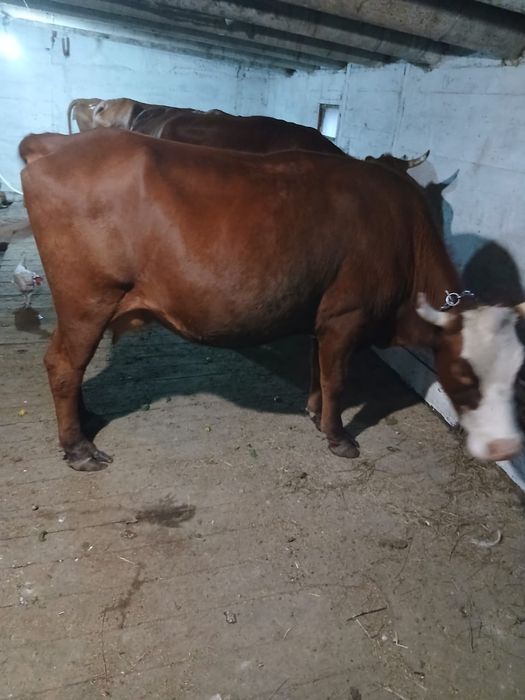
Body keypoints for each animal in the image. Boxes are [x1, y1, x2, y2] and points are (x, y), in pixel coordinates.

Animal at [19, 129, 525, 472]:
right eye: (466, 373)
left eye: (516, 376)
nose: (506, 448)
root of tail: (59, 144)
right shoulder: (347, 314)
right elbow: (337, 378)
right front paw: (338, 436)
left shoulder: (322, 313)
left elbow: (317, 368)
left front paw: (314, 412)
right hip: (88, 297)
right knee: (63, 364)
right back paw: (78, 447)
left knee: (72, 365)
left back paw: (87, 419)